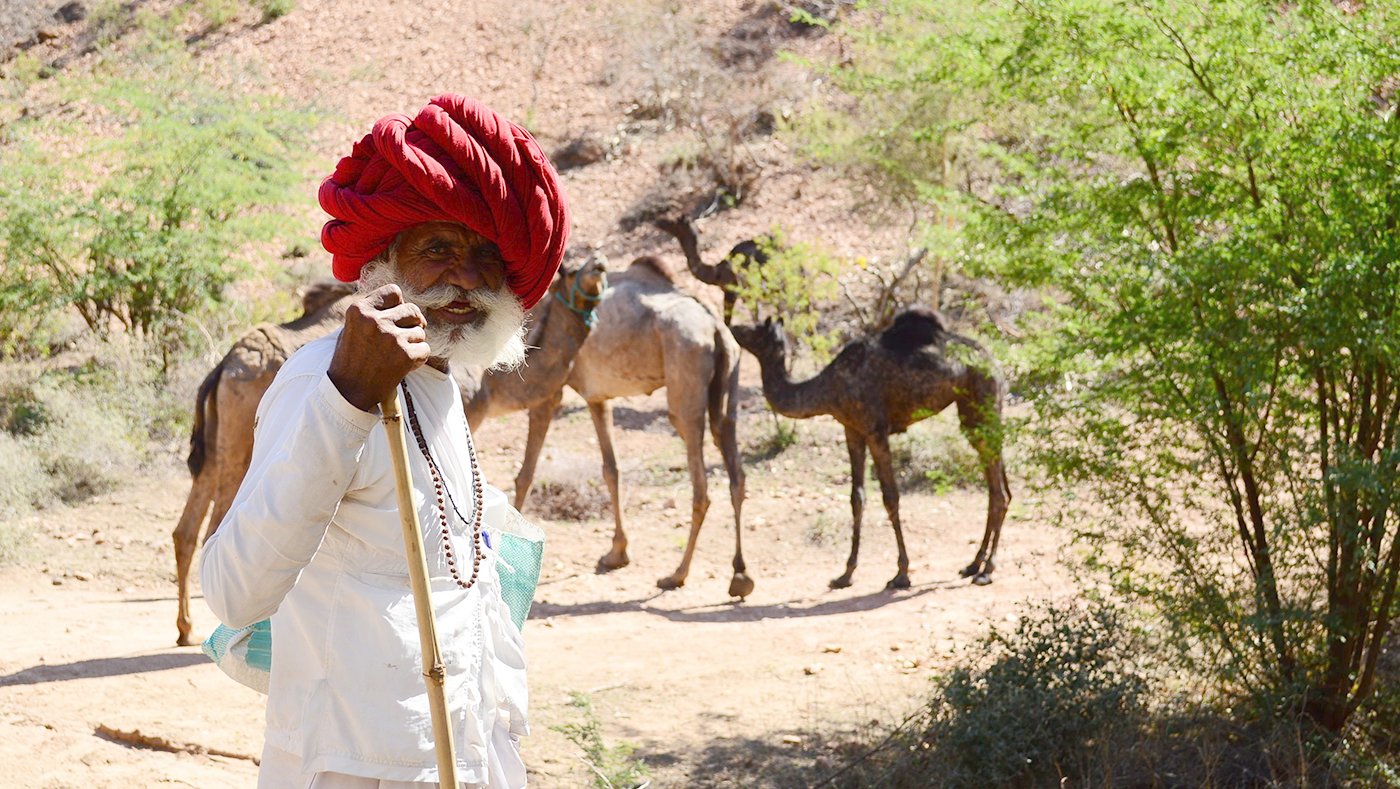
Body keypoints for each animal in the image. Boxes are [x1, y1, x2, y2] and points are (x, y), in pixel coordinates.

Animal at [467, 258, 756, 598]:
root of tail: (716, 327)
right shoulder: (596, 395)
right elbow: (611, 469)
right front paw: (617, 553)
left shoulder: (551, 394)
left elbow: (526, 473)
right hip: (728, 384)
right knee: (735, 470)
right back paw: (740, 575)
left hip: (685, 385)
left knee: (701, 485)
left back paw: (677, 574)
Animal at [728, 307, 1013, 593]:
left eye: (753, 329)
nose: (732, 328)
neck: (828, 387)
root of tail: (996, 363)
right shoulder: (852, 430)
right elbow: (857, 498)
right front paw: (845, 574)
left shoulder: (876, 431)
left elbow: (890, 497)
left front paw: (901, 574)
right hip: (973, 414)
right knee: (997, 487)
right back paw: (973, 564)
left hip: (983, 400)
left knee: (998, 492)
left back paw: (987, 570)